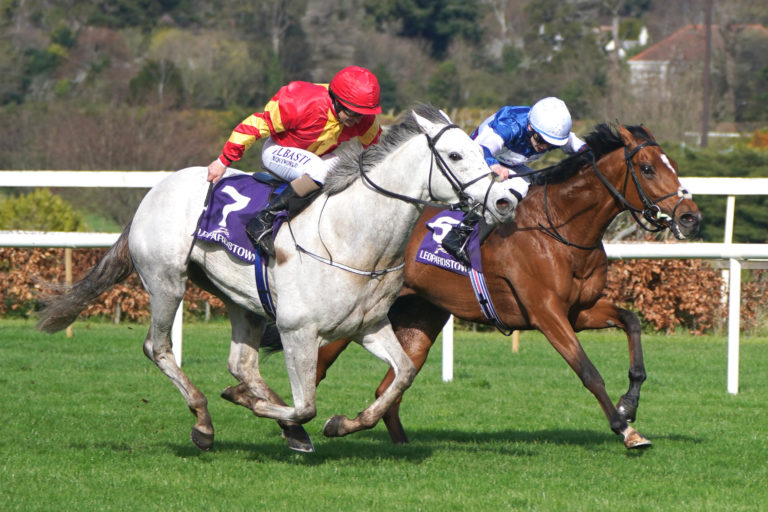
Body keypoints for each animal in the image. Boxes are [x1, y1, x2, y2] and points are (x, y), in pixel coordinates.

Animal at [34, 104, 516, 452]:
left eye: (483, 153)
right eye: (455, 155)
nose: (505, 200)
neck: (351, 236)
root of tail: (156, 190)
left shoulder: (369, 326)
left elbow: (401, 376)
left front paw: (342, 424)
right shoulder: (297, 330)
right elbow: (305, 406)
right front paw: (254, 406)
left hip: (240, 299)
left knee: (241, 363)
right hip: (166, 280)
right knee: (159, 347)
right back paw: (204, 420)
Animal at [270, 123, 704, 448]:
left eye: (671, 164)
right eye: (647, 169)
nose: (690, 218)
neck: (561, 229)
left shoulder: (579, 311)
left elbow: (631, 321)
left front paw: (629, 403)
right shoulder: (546, 313)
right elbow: (588, 371)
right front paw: (625, 429)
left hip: (420, 316)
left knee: (390, 384)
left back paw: (386, 438)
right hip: (352, 318)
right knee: (320, 369)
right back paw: (298, 429)